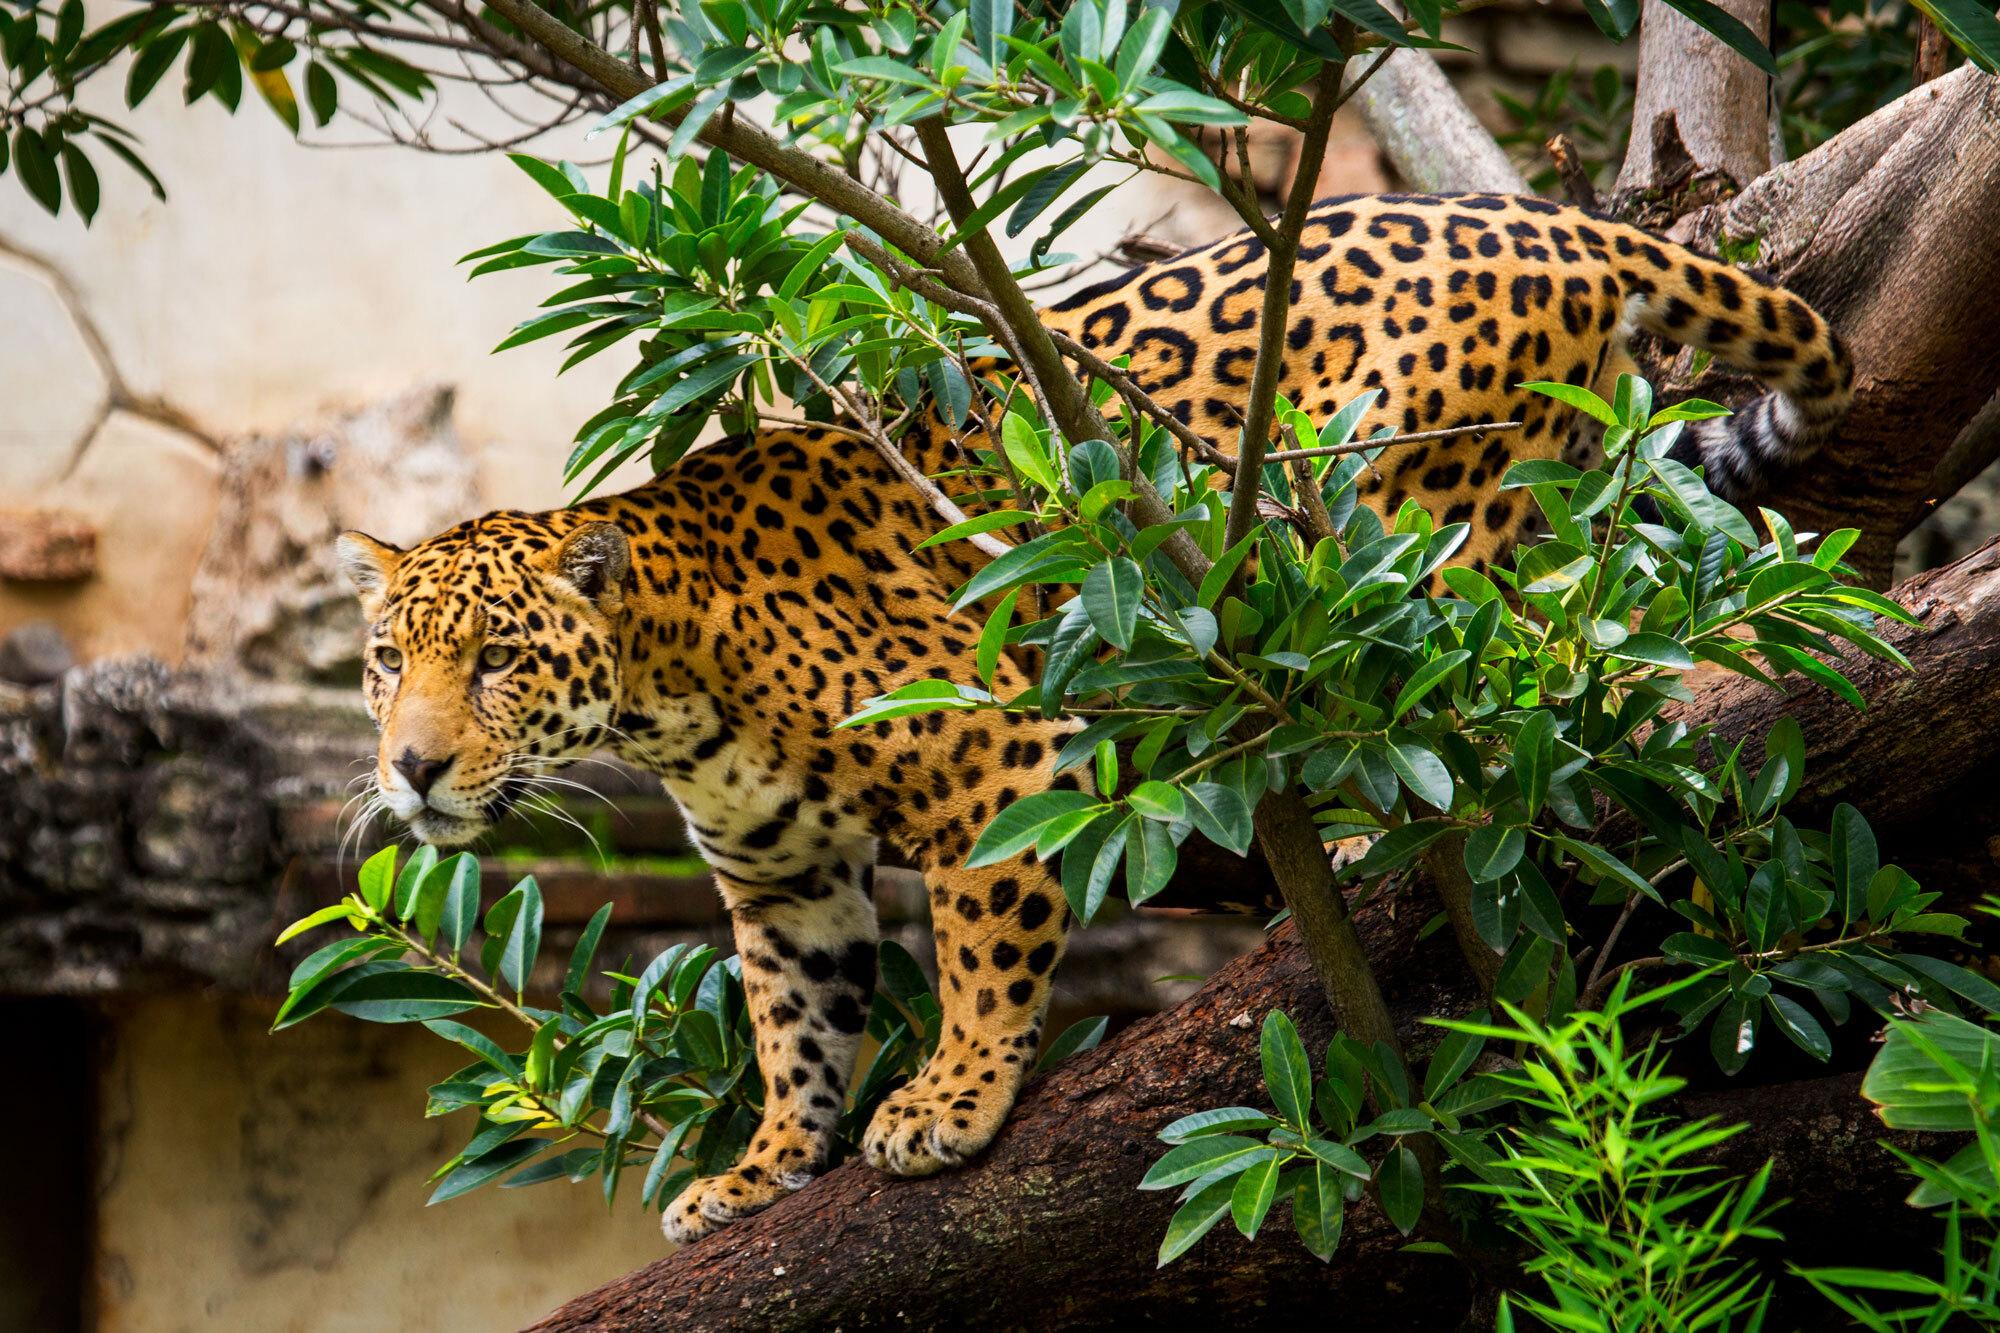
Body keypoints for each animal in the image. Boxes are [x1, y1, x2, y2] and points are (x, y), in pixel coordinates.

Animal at [334, 193, 1851, 1244]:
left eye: (498, 661)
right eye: (384, 661)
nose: (410, 771)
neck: (667, 691)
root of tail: (1546, 217)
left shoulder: (990, 760)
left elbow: (978, 948)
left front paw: (948, 1101)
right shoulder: (783, 882)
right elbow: (792, 1026)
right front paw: (762, 1169)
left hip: (1402, 510)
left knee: (1489, 681)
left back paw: (1389, 835)